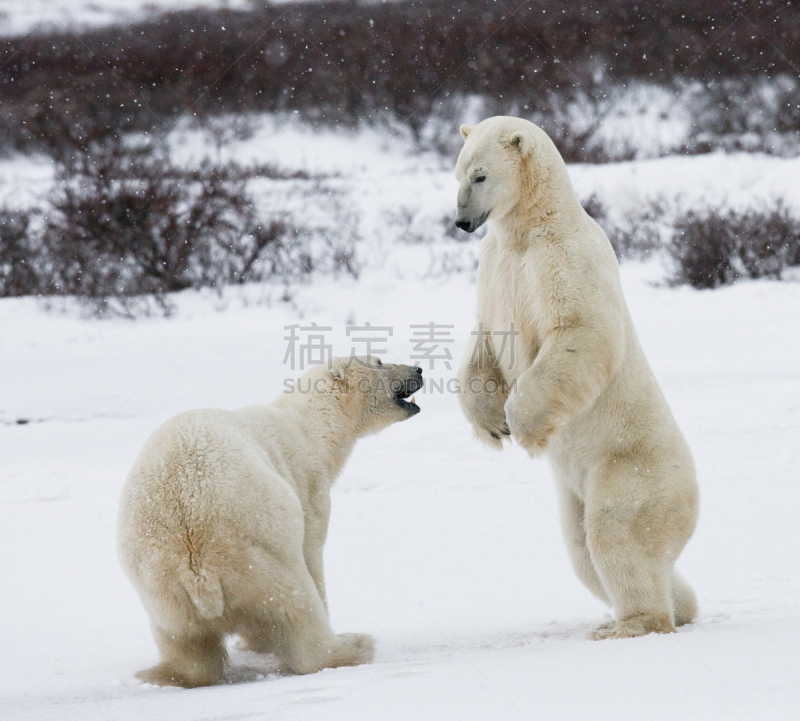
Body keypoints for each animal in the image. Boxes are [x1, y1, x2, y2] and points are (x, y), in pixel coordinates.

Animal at [117, 358, 424, 684]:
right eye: (379, 361)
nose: (418, 370)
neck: (310, 427)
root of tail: (195, 564)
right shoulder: (305, 482)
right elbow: (313, 551)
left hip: (160, 586)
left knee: (186, 645)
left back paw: (163, 672)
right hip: (261, 553)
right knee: (297, 606)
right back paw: (354, 644)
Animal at [456, 118, 700, 640]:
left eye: (481, 176)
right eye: (458, 173)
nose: (461, 222)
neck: (529, 227)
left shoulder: (564, 259)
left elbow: (581, 328)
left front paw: (520, 426)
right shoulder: (495, 266)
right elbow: (482, 340)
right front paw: (491, 422)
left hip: (633, 467)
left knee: (615, 531)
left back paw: (631, 624)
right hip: (572, 489)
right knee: (581, 549)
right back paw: (678, 606)